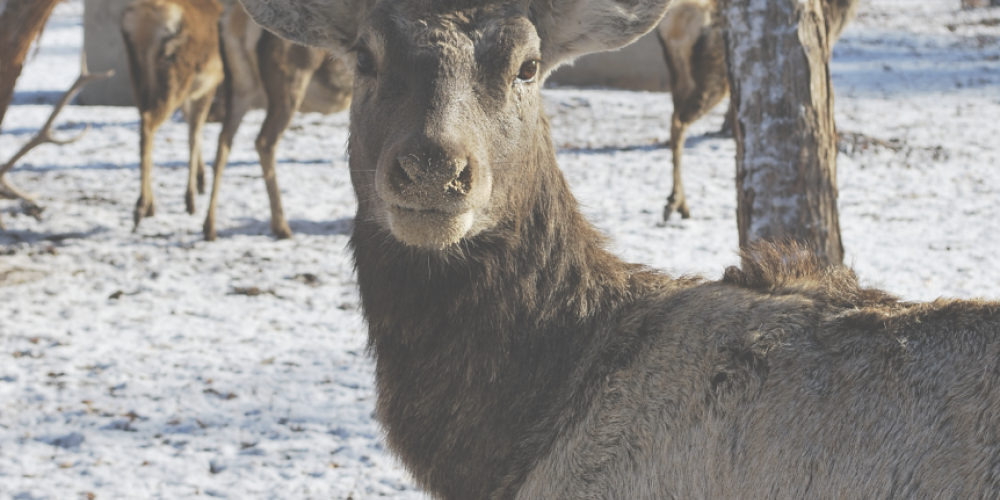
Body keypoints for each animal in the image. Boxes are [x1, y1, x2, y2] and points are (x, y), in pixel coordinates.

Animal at [120, 0, 224, 227]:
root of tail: (144, 23)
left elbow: (190, 126)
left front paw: (201, 180)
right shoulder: (210, 81)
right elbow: (195, 132)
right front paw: (190, 199)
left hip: (137, 75)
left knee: (143, 121)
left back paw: (148, 204)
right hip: (175, 74)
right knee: (149, 122)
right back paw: (142, 205)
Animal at [199, 0, 352, 240]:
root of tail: (233, 20)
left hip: (240, 87)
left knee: (224, 139)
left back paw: (209, 227)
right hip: (289, 79)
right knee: (264, 140)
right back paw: (281, 226)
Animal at [656, 0, 860, 221]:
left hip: (680, 76)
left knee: (674, 119)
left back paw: (674, 200)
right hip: (712, 74)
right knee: (679, 121)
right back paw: (678, 203)